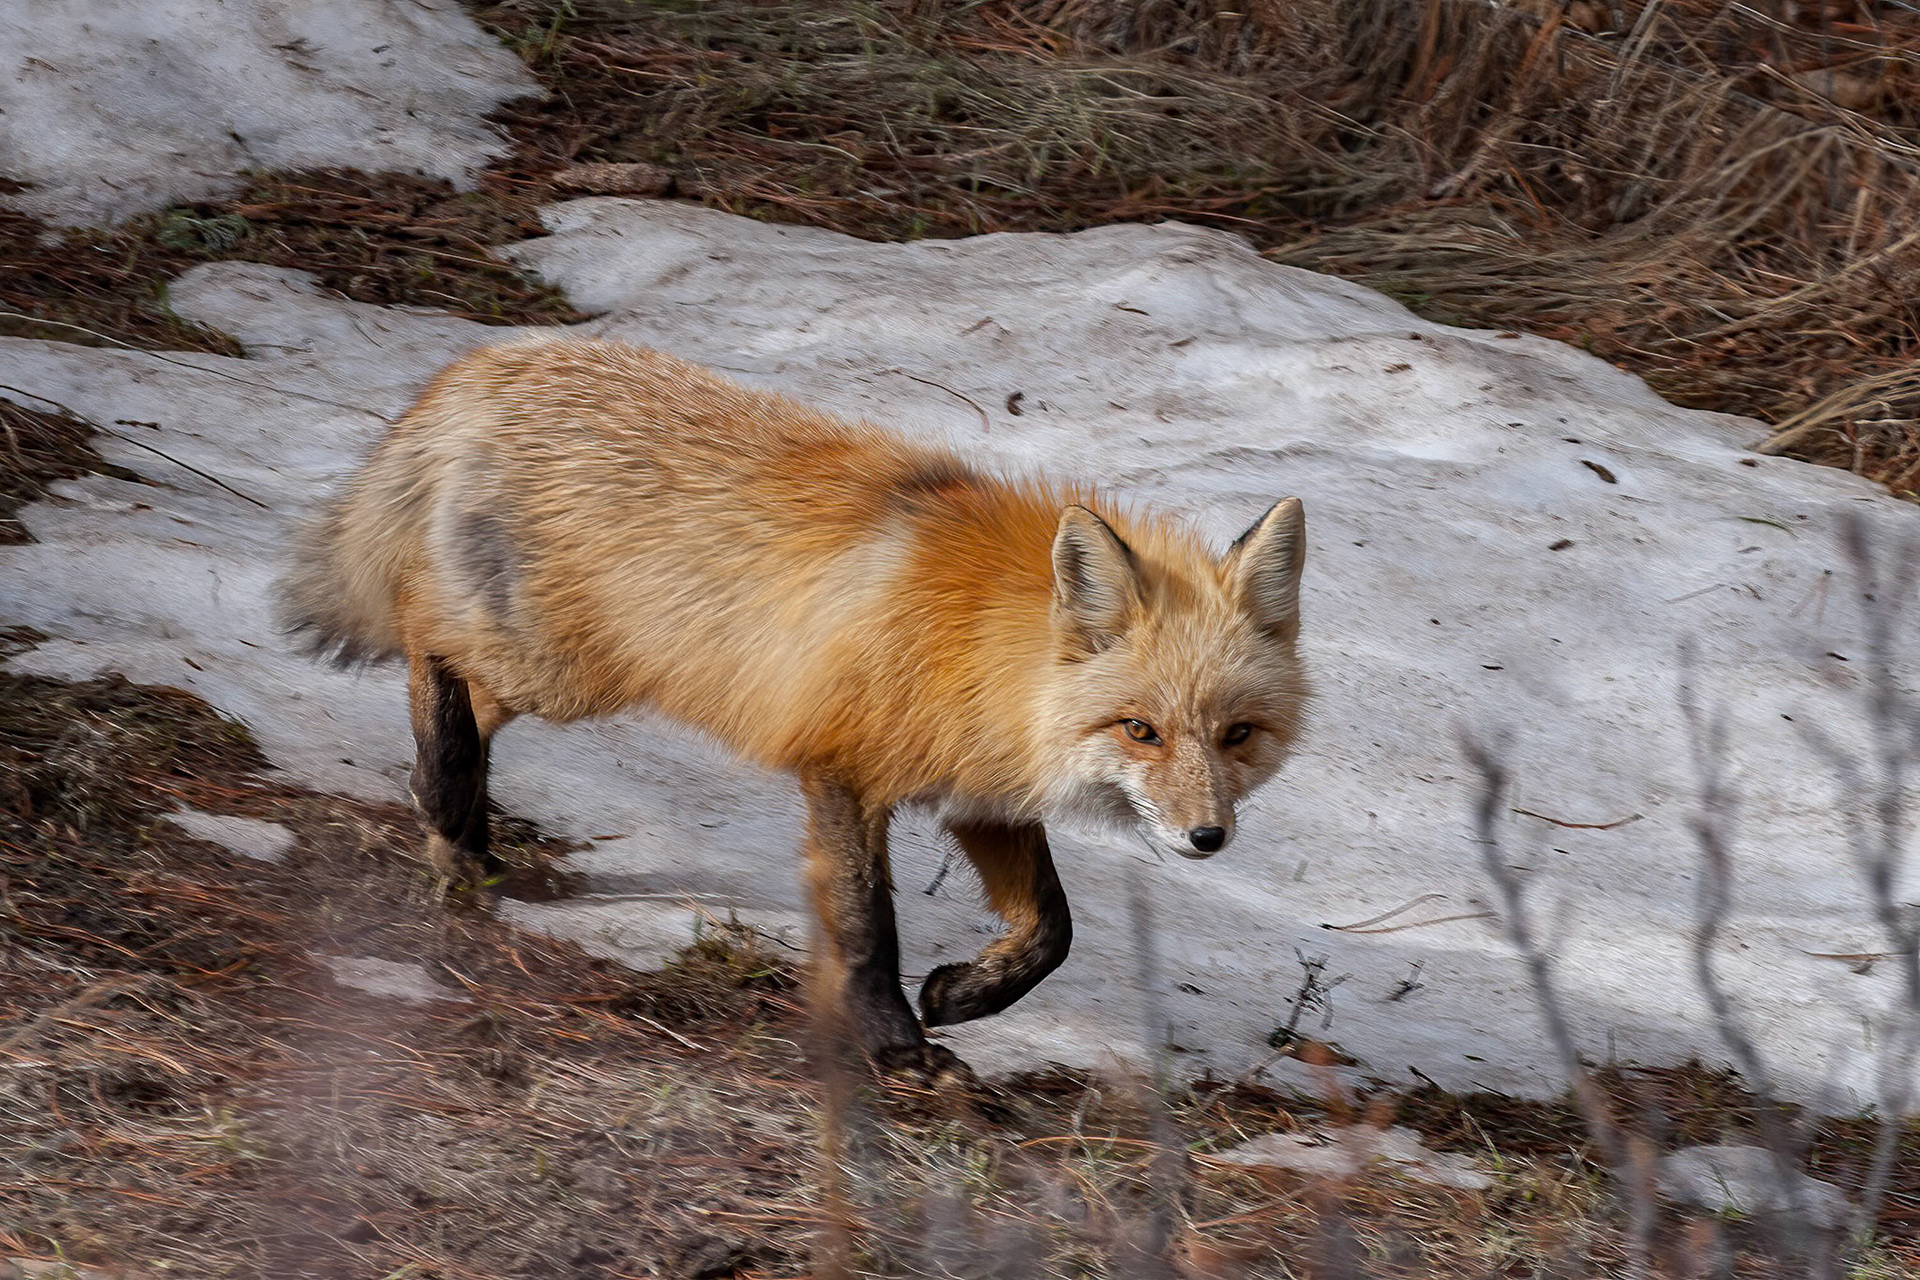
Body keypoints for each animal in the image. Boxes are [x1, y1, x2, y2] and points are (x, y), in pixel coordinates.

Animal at [279, 336, 1309, 1077]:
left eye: (1237, 736)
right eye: (1141, 730)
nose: (1207, 839)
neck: (984, 648)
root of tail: (492, 356)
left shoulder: (979, 791)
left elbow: (1052, 929)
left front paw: (964, 995)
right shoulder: (843, 771)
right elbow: (865, 928)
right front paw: (895, 1046)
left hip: (561, 669)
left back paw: (463, 830)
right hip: (556, 667)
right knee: (425, 639)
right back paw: (447, 809)